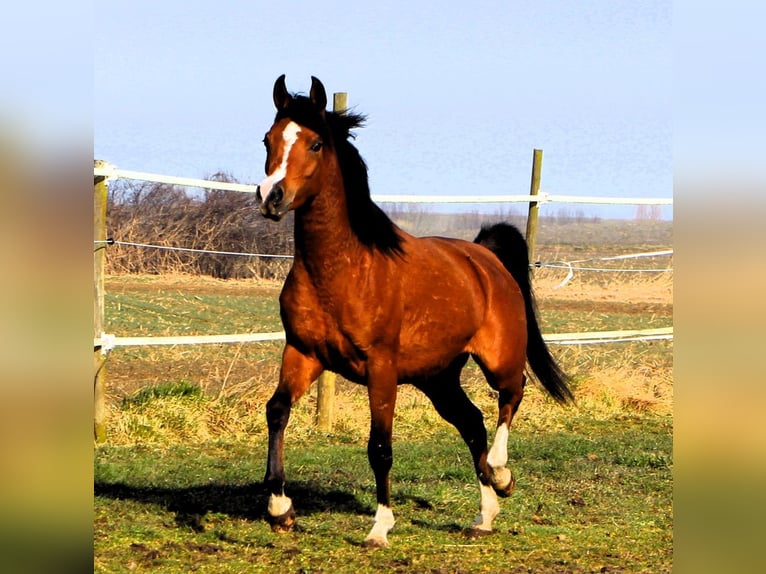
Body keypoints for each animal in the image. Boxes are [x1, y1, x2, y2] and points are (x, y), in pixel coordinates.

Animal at [255, 76, 572, 548]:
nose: (271, 197)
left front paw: (379, 528)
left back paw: (501, 473)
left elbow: (380, 447)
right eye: (268, 139)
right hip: (437, 377)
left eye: (314, 143)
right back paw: (485, 515)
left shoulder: (380, 367)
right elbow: (277, 411)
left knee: (511, 397)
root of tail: (485, 258)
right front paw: (280, 510)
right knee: (473, 422)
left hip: (499, 358)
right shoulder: (302, 353)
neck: (343, 269)